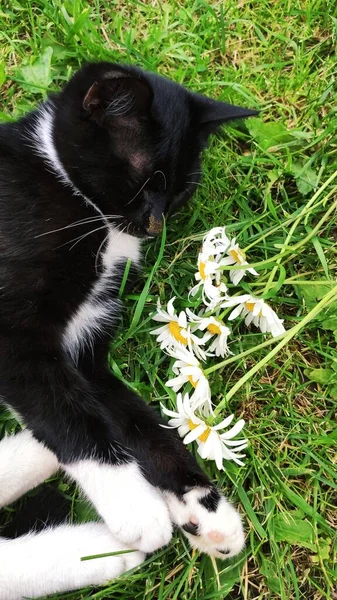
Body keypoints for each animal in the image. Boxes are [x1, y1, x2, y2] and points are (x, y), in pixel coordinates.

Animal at [0, 61, 256, 596]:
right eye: (142, 180)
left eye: (179, 190)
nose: (155, 225)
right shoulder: (12, 334)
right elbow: (65, 409)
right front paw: (133, 502)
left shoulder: (83, 348)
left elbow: (134, 417)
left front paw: (204, 510)